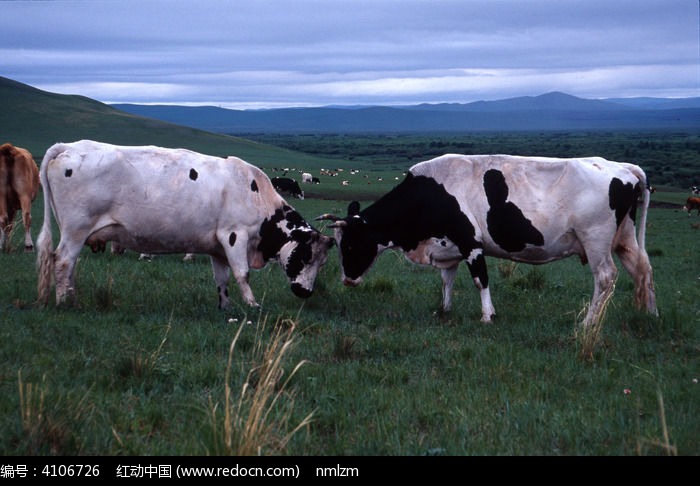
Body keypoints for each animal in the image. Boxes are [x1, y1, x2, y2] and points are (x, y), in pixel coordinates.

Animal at [36, 140, 334, 308]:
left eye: (322, 264)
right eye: (306, 257)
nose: (306, 292)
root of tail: (70, 146)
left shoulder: (218, 246)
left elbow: (222, 279)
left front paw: (226, 306)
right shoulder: (234, 235)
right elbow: (242, 274)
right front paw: (252, 305)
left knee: (70, 264)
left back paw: (73, 297)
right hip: (76, 229)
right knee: (63, 261)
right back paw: (64, 302)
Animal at [318, 154, 656, 328]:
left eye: (349, 244)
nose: (347, 280)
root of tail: (622, 166)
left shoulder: (471, 243)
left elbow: (481, 280)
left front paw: (487, 315)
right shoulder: (448, 245)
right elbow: (446, 280)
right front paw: (445, 310)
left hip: (596, 239)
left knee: (606, 277)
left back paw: (588, 322)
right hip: (624, 238)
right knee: (643, 269)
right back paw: (650, 315)